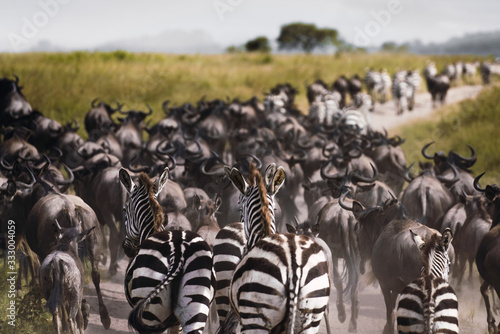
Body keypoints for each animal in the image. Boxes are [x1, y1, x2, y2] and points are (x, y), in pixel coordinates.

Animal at [120, 167, 217, 334]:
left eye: (125, 210)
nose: (127, 249)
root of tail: (178, 253)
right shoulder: (176, 322)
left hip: (149, 314)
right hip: (196, 303)